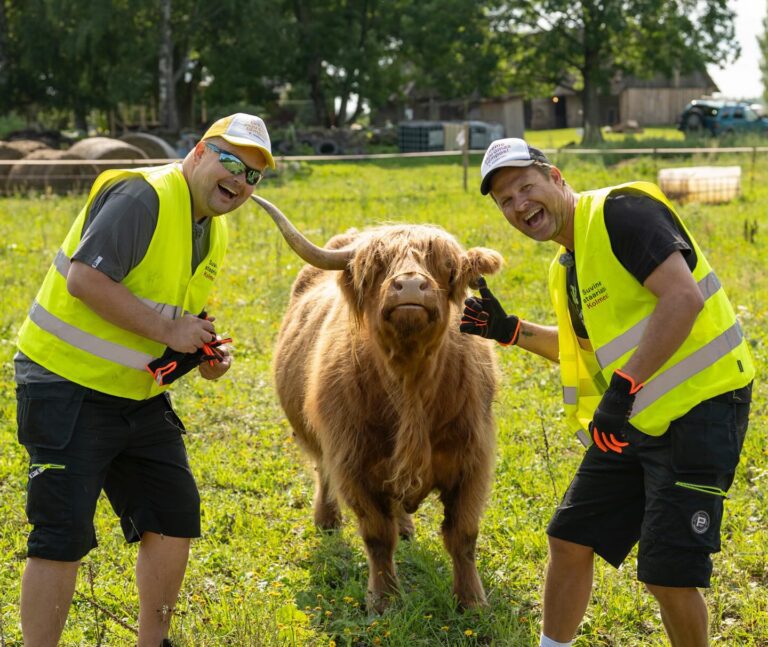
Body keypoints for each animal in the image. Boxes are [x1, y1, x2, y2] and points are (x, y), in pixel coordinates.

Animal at [254, 195, 504, 612]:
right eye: (377, 267)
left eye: (445, 266)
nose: (411, 285)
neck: (410, 384)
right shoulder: (353, 462)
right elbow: (376, 536)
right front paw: (384, 600)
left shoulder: (472, 459)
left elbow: (463, 534)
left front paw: (472, 601)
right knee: (323, 471)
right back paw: (327, 520)